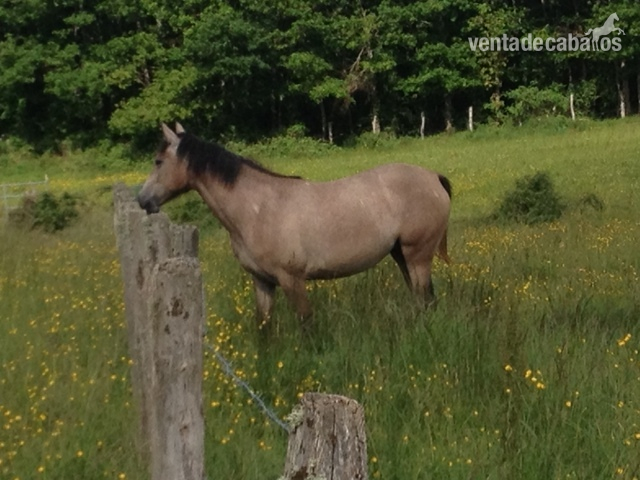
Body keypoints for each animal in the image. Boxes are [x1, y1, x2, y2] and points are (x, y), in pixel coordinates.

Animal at [138, 123, 452, 330]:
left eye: (158, 161)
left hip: (417, 256)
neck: (257, 208)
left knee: (425, 299)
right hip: (401, 255)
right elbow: (264, 328)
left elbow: (306, 325)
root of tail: (433, 177)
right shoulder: (262, 282)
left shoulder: (292, 280)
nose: (142, 200)